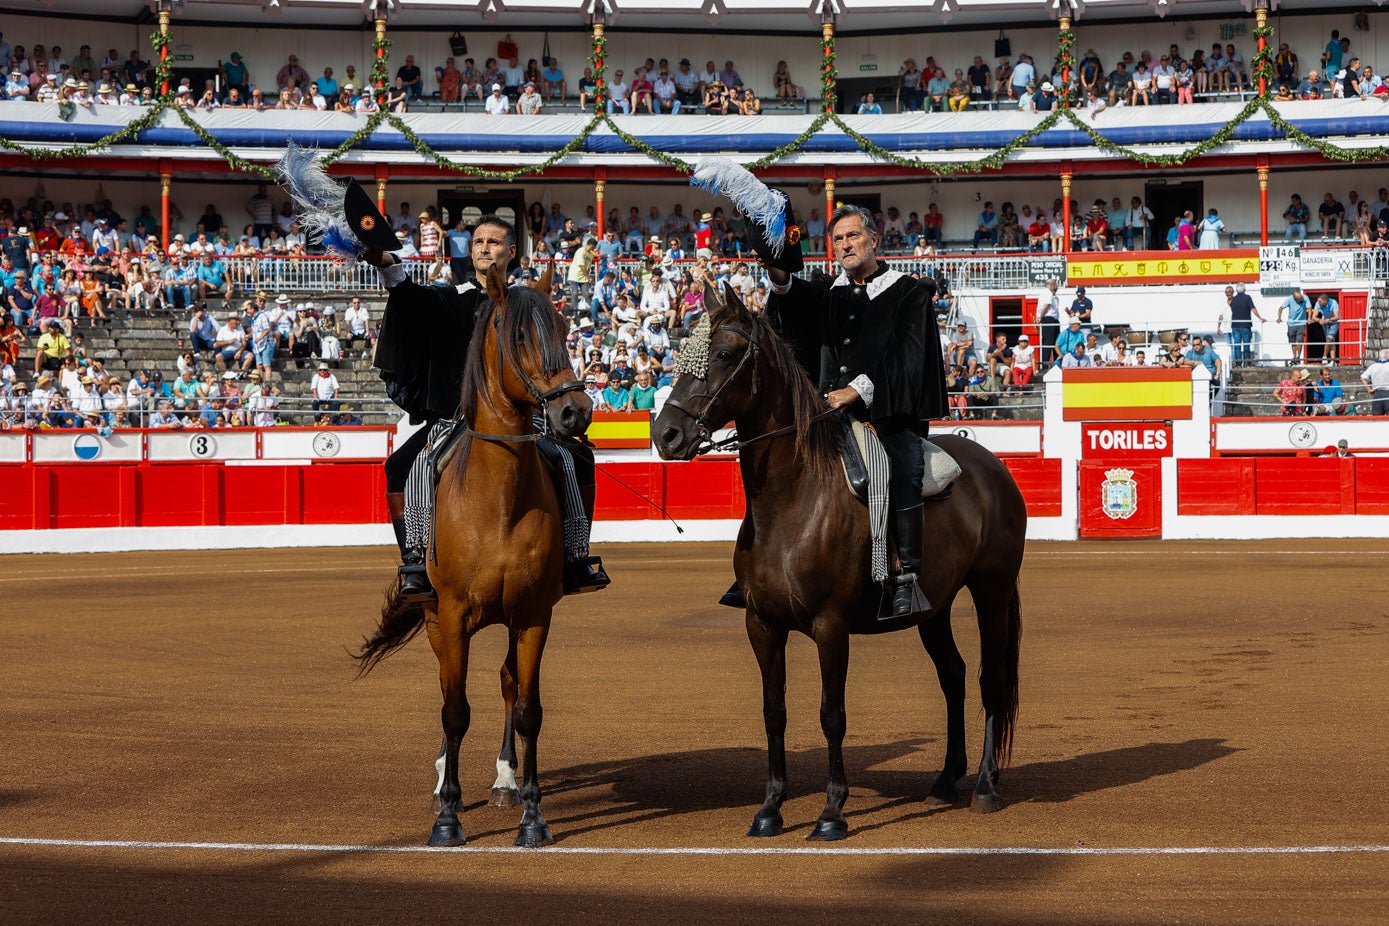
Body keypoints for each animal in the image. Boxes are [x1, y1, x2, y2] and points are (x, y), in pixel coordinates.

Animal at [355, 262, 588, 849]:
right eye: (521, 335)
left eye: (564, 328)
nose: (574, 412)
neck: (498, 497)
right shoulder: (454, 612)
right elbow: (454, 709)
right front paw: (447, 816)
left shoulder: (534, 614)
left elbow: (527, 709)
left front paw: (532, 816)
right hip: (437, 617)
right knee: (447, 689)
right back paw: (445, 781)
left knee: (506, 684)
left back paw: (505, 782)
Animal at [655, 283, 1027, 838]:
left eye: (722, 354)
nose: (666, 434)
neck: (794, 500)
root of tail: (993, 470)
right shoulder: (762, 625)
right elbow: (774, 710)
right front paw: (770, 808)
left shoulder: (831, 627)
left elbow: (832, 714)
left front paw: (832, 812)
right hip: (934, 609)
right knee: (954, 676)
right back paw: (945, 780)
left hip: (992, 592)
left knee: (990, 681)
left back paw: (985, 785)